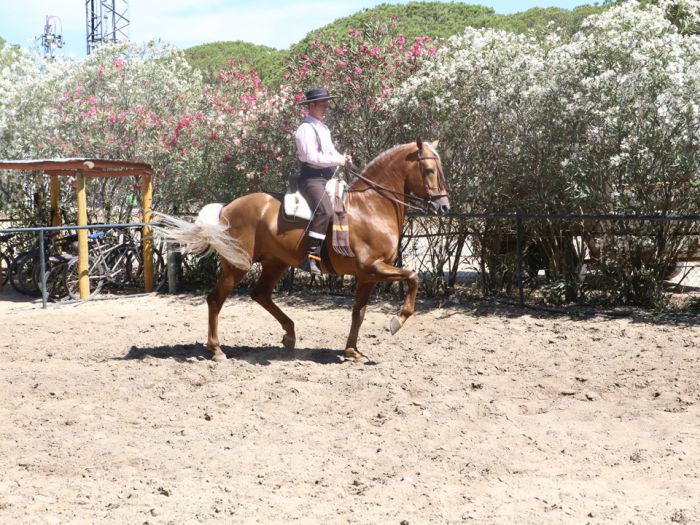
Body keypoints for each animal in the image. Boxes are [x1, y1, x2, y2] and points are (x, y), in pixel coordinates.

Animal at [156, 137, 452, 360]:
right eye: (428, 170)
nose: (444, 206)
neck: (371, 206)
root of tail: (227, 207)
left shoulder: (367, 275)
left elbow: (358, 313)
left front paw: (352, 351)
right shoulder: (373, 267)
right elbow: (413, 276)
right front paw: (396, 321)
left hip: (275, 263)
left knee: (260, 294)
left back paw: (289, 335)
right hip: (237, 264)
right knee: (216, 300)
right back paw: (217, 350)